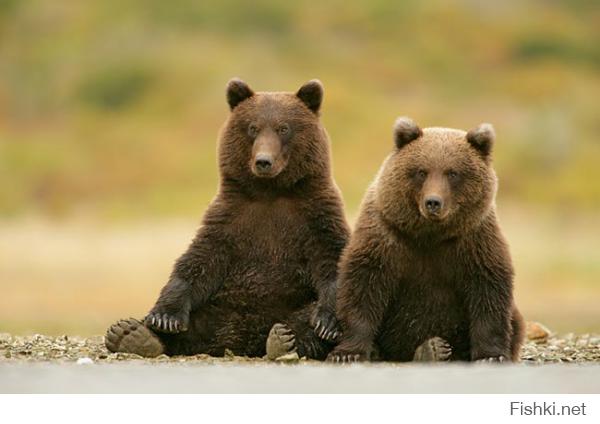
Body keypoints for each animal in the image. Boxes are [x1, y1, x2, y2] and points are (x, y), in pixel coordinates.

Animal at [103, 78, 350, 358]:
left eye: (284, 128)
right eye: (253, 127)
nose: (263, 161)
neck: (270, 192)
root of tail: (240, 340)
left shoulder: (316, 216)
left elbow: (332, 258)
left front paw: (326, 323)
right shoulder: (231, 216)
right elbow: (199, 260)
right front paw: (164, 317)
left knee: (305, 317)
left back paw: (284, 338)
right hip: (217, 307)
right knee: (194, 323)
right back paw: (132, 334)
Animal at [330, 117, 524, 362]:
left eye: (452, 173)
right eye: (422, 171)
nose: (433, 202)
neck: (429, 235)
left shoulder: (474, 239)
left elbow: (487, 288)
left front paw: (491, 355)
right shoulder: (386, 235)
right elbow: (364, 284)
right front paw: (348, 352)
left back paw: (434, 348)